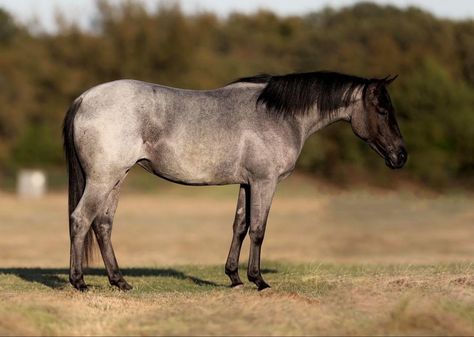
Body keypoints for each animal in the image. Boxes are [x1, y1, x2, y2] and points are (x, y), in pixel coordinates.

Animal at [63, 71, 408, 292]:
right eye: (381, 109)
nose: (401, 155)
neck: (278, 114)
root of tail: (83, 99)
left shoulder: (247, 183)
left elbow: (240, 225)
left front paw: (234, 277)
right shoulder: (265, 182)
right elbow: (258, 229)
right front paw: (258, 280)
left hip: (116, 178)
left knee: (103, 224)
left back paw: (119, 281)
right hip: (103, 178)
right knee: (81, 219)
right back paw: (79, 282)